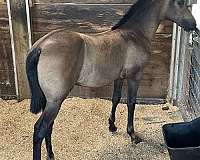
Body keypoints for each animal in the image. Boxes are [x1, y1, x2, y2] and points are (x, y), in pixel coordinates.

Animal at [26, 0, 197, 159]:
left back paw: (51, 154)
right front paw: (132, 135)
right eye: (180, 3)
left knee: (49, 126)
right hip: (55, 101)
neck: (134, 34)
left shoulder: (119, 77)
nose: (194, 25)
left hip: (51, 101)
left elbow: (116, 98)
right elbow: (131, 102)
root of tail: (40, 46)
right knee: (40, 129)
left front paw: (112, 126)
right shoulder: (135, 76)